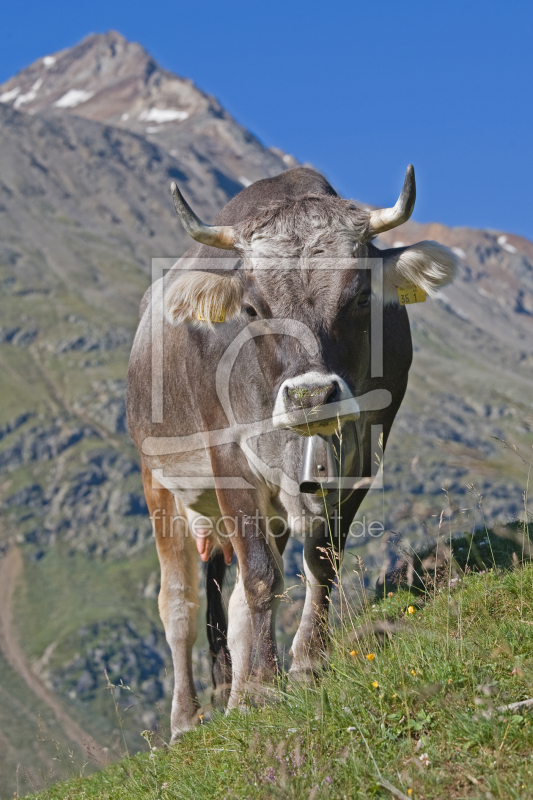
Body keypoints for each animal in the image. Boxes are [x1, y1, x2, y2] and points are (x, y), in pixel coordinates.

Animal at [125, 166, 458, 740]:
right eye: (253, 308)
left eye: (360, 297)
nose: (310, 396)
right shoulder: (231, 459)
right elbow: (260, 577)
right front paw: (263, 686)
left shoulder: (364, 453)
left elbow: (320, 561)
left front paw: (304, 665)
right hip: (160, 477)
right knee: (180, 605)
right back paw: (186, 719)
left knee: (233, 599)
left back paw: (235, 697)